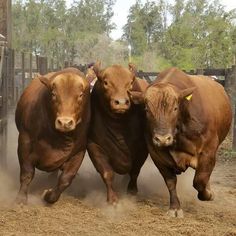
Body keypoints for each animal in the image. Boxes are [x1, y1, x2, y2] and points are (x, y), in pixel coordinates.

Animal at [15, 67, 90, 204]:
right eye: (54, 94)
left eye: (81, 95)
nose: (65, 122)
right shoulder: (25, 141)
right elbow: (27, 172)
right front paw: (21, 198)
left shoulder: (79, 151)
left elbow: (66, 179)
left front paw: (48, 195)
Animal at [87, 62, 148, 203]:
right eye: (106, 82)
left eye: (130, 83)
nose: (121, 103)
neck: (118, 126)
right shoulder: (94, 146)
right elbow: (107, 173)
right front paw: (112, 198)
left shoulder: (142, 149)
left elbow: (135, 171)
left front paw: (132, 191)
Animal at [131, 67, 232, 218]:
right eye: (147, 109)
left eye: (175, 108)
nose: (162, 139)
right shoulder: (156, 154)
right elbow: (170, 182)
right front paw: (175, 208)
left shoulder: (208, 151)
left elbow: (200, 180)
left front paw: (207, 194)